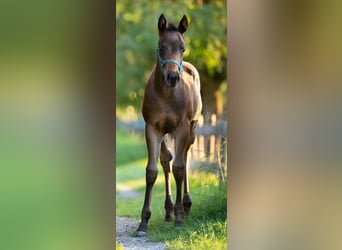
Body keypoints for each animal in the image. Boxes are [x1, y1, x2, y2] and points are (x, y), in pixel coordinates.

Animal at [135, 13, 202, 236]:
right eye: (161, 47)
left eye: (183, 48)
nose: (173, 77)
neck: (167, 95)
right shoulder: (152, 129)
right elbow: (152, 171)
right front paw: (143, 222)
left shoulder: (182, 128)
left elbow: (179, 168)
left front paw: (179, 218)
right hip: (165, 133)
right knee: (166, 161)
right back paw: (168, 210)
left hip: (192, 129)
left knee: (185, 159)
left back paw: (185, 205)